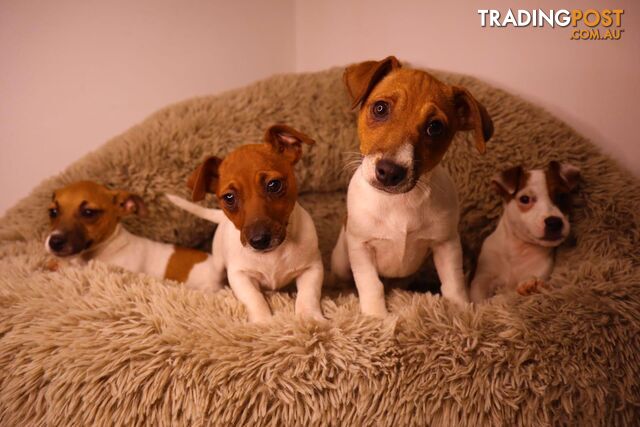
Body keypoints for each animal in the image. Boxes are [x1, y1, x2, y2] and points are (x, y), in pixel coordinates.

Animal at [165, 125, 324, 322]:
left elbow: (308, 294)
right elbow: (254, 298)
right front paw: (263, 322)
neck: (273, 255)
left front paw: (310, 318)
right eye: (229, 197)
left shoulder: (312, 268)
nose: (259, 240)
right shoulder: (239, 276)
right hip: (218, 264)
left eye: (274, 185)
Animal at [332, 56, 492, 318]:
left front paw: (461, 312)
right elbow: (371, 285)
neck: (398, 202)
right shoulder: (361, 247)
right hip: (340, 260)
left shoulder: (446, 244)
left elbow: (454, 282)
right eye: (380, 108)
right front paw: (376, 317)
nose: (389, 172)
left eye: (434, 127)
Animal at [468, 162, 584, 302]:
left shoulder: (540, 270)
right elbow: (478, 297)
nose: (554, 222)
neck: (518, 249)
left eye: (562, 196)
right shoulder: (483, 277)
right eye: (525, 199)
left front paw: (530, 286)